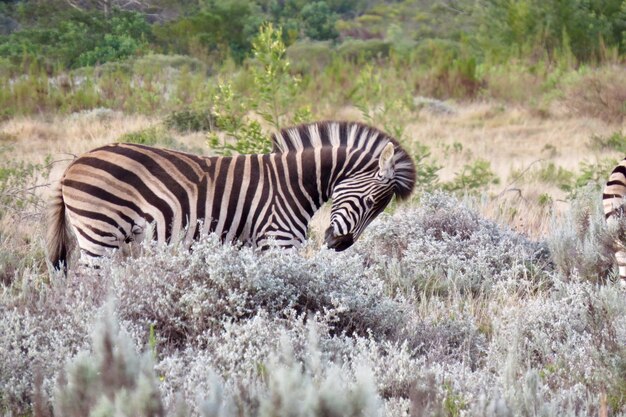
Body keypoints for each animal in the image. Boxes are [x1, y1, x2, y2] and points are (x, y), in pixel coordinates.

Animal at [47, 120, 414, 270]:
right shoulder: (277, 241)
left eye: (379, 211)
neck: (293, 183)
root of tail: (73, 165)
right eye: (370, 203)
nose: (339, 245)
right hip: (100, 233)